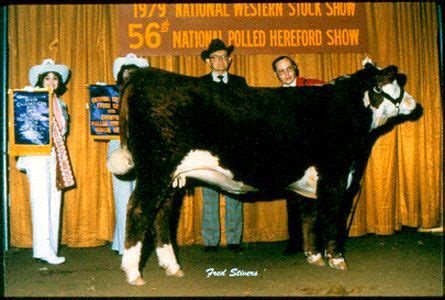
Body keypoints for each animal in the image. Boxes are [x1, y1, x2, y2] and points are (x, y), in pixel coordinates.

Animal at [106, 58, 420, 286]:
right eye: (397, 83)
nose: (415, 104)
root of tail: (142, 74)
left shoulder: (311, 182)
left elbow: (309, 219)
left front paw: (315, 257)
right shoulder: (335, 175)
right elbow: (330, 219)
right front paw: (337, 260)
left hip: (171, 176)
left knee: (160, 215)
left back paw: (172, 267)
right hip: (157, 168)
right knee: (138, 209)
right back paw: (134, 273)